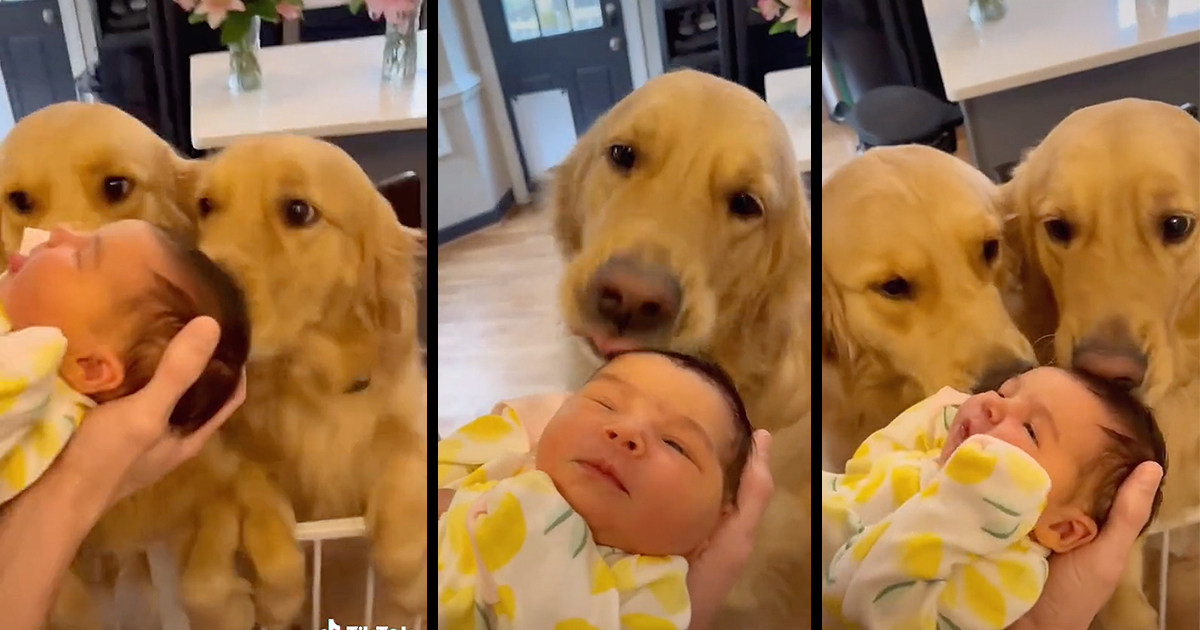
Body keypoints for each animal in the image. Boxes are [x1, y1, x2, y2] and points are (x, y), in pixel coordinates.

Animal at [1, 100, 304, 628]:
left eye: (117, 186)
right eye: (18, 200)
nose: (53, 243)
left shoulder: (224, 475)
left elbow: (251, 566)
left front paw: (262, 604)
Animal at [200, 133, 432, 619]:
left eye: (298, 211)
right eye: (205, 205)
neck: (310, 386)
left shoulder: (411, 436)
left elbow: (400, 537)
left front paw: (411, 591)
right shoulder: (242, 462)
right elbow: (270, 532)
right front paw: (278, 600)